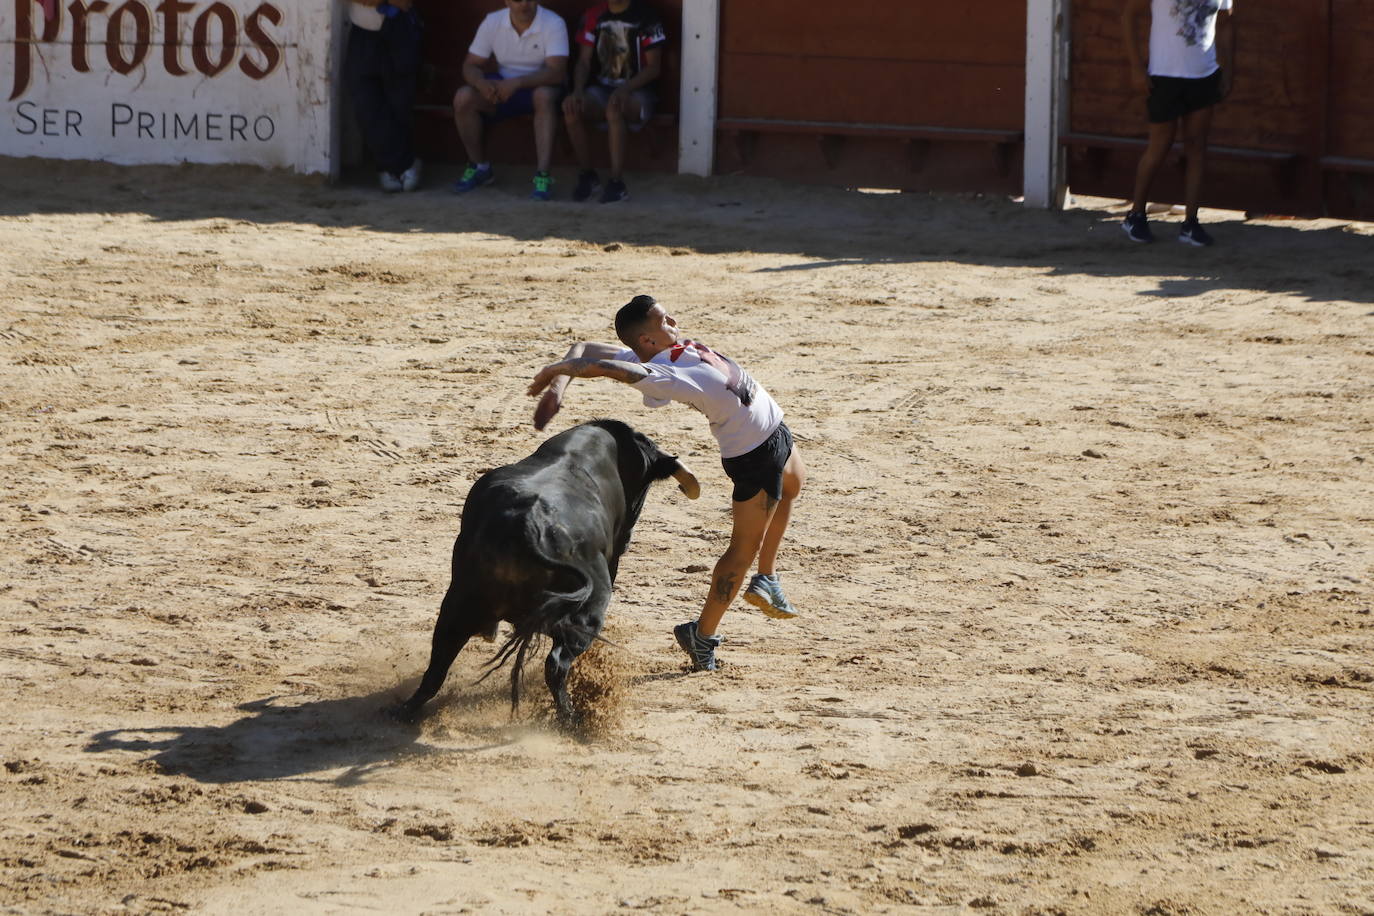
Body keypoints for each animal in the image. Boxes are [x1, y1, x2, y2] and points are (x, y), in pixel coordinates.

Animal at [395, 420, 697, 725]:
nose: (628, 538)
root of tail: (527, 524)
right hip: (587, 614)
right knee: (556, 664)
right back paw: (571, 719)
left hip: (458, 601)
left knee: (439, 659)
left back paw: (404, 711)